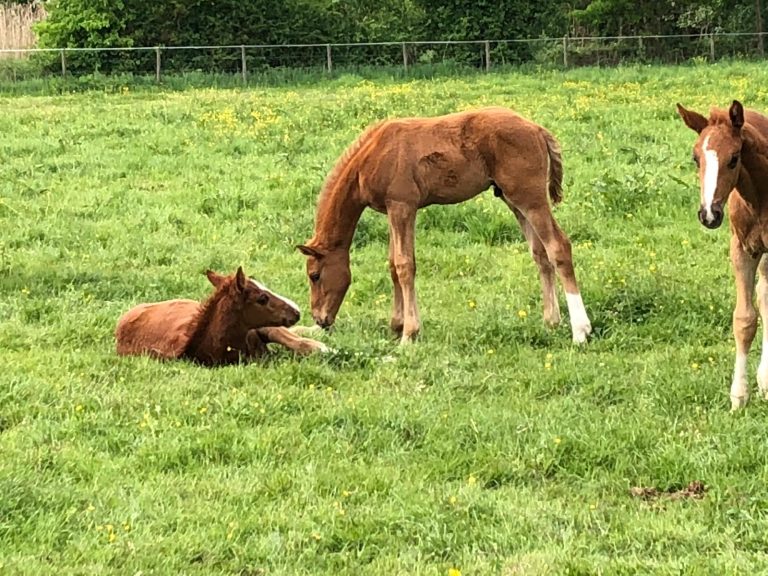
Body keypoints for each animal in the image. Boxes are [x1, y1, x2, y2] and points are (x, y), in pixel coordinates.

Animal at [296, 106, 592, 345]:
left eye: (315, 275)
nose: (320, 319)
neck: (371, 155)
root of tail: (538, 130)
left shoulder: (403, 206)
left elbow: (404, 265)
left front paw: (409, 334)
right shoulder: (392, 209)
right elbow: (393, 265)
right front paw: (397, 325)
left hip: (529, 198)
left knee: (558, 247)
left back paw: (580, 331)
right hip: (513, 200)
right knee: (540, 254)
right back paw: (551, 321)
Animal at [677, 100, 768, 409]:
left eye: (734, 158)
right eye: (695, 158)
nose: (709, 214)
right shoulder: (742, 249)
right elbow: (745, 319)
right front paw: (739, 396)